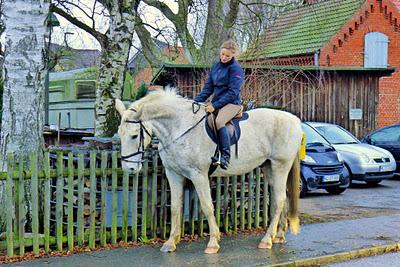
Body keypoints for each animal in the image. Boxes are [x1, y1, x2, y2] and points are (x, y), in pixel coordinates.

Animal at [115, 89, 304, 254]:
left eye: (134, 135)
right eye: (119, 133)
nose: (129, 168)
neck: (179, 127)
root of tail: (295, 120)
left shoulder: (198, 175)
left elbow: (207, 206)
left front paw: (213, 243)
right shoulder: (173, 174)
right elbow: (175, 207)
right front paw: (170, 243)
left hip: (280, 166)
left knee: (279, 200)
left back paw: (266, 240)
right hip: (269, 168)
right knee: (282, 198)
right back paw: (278, 236)